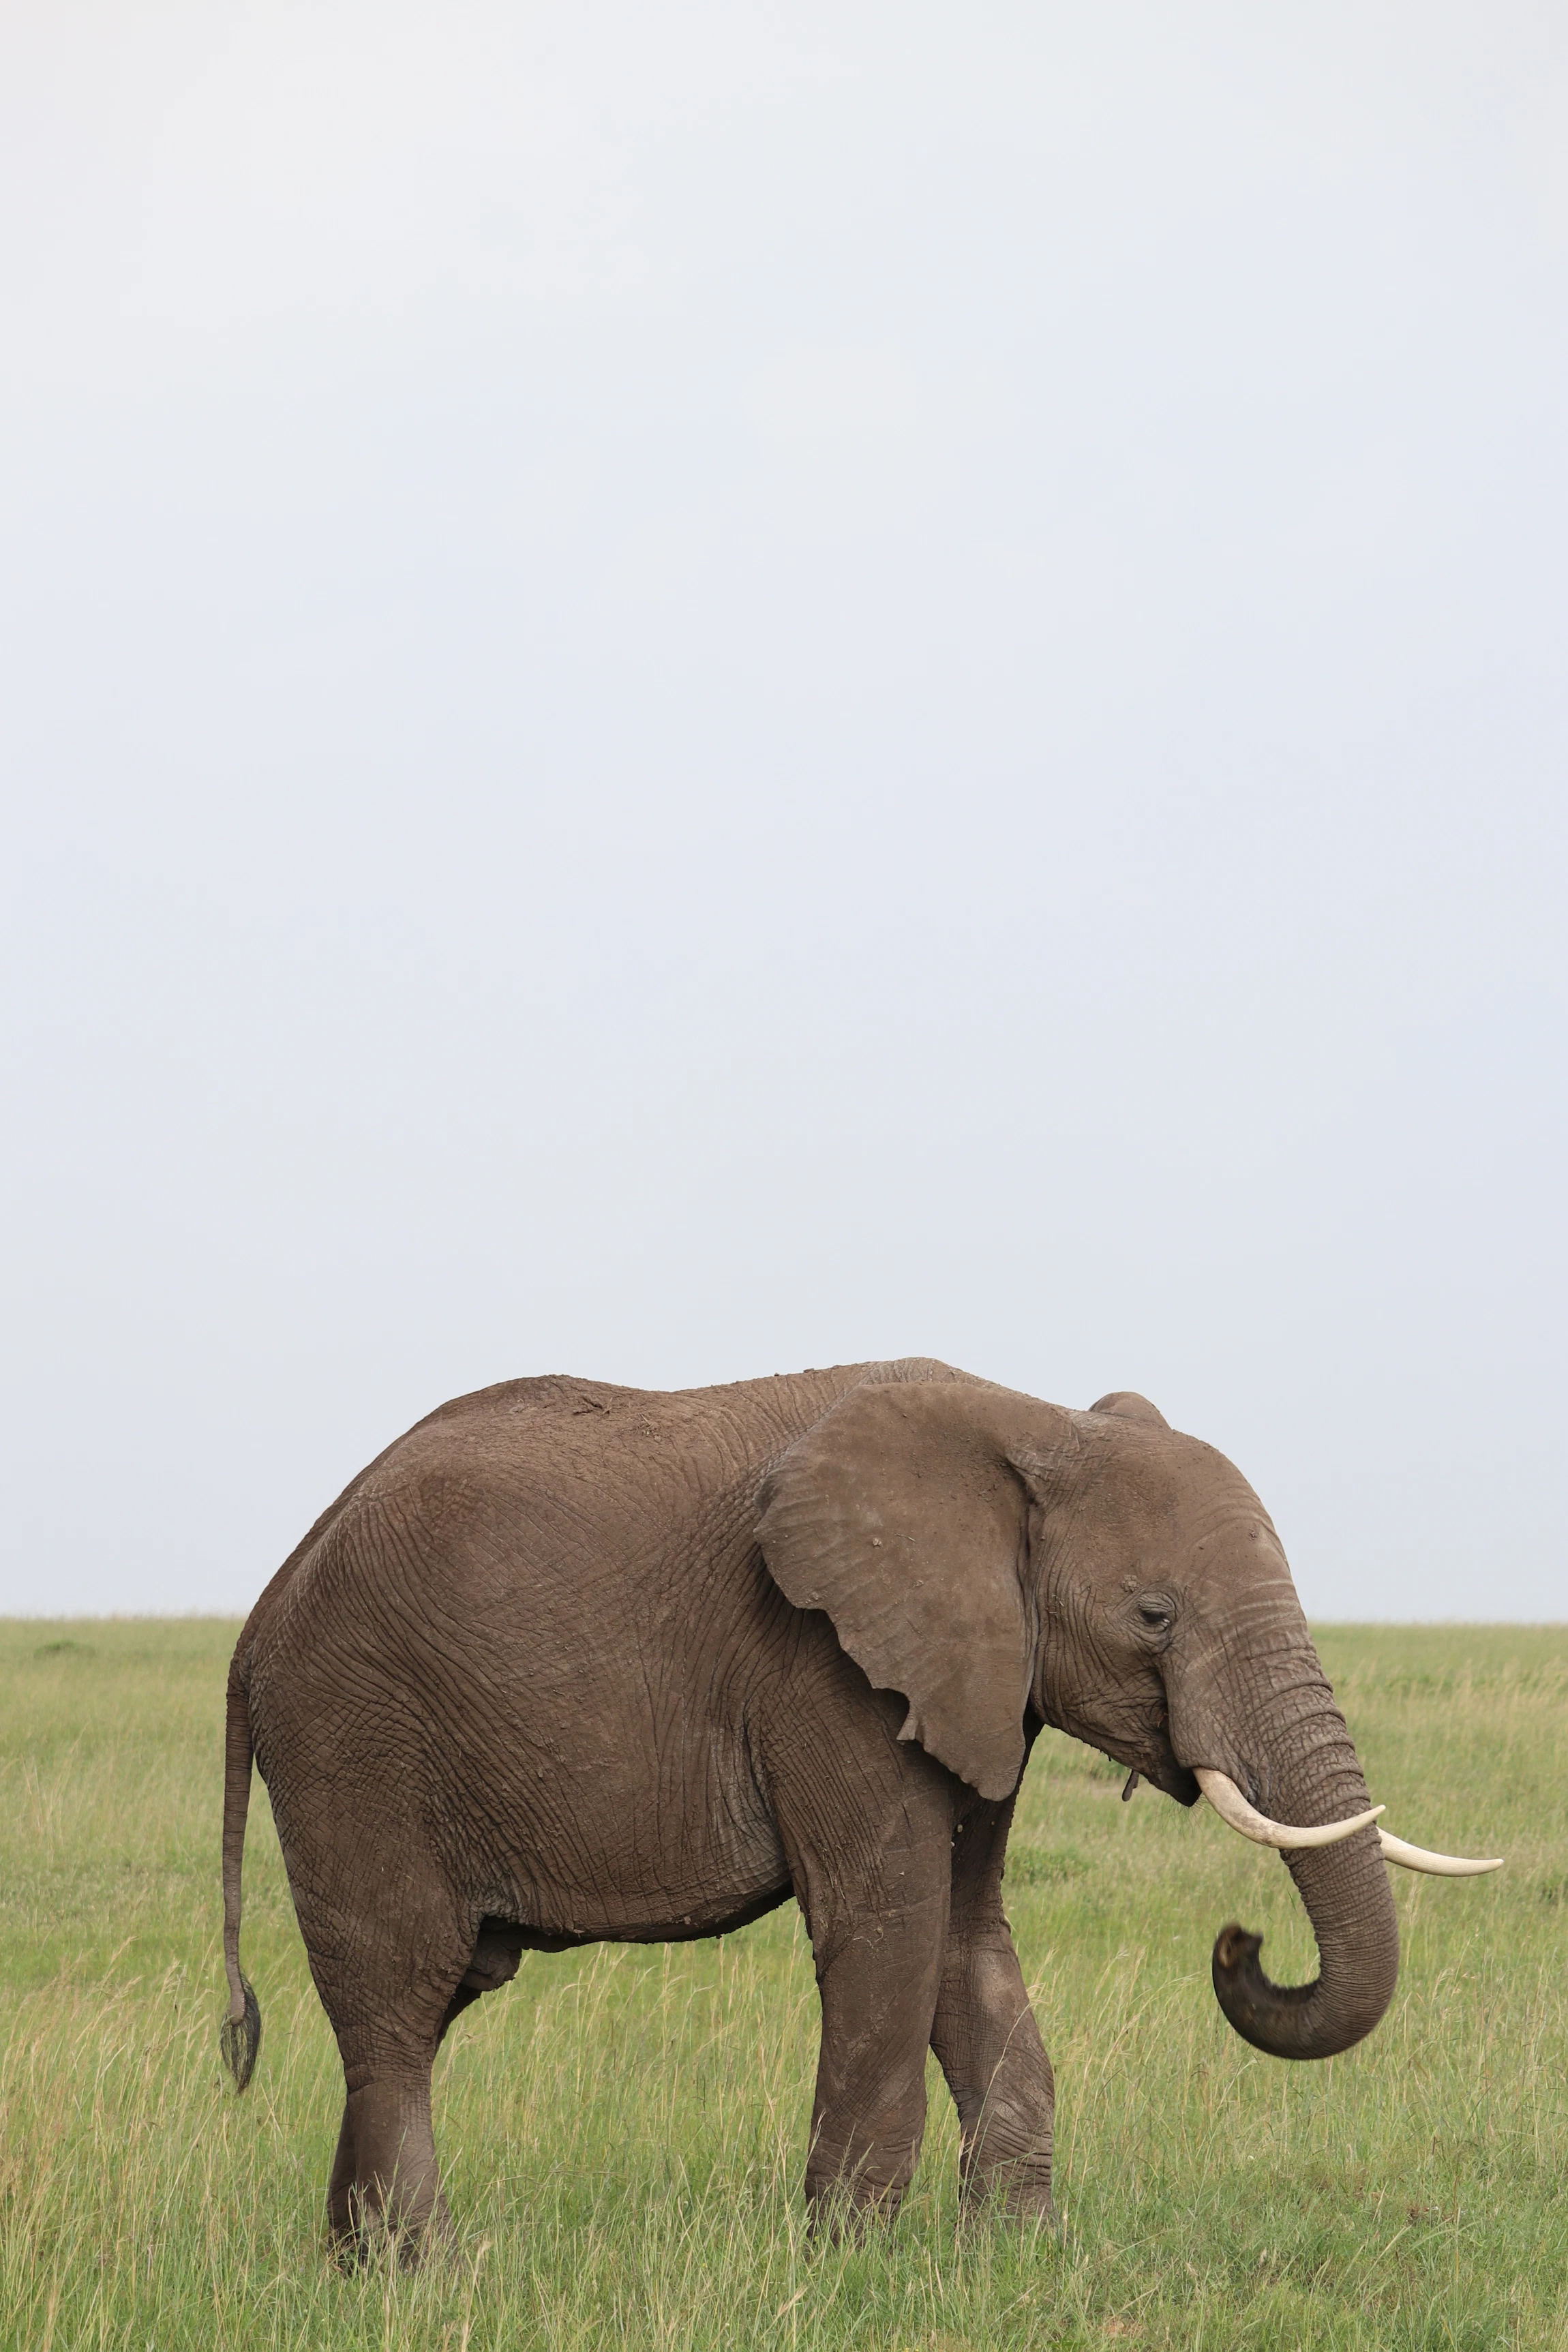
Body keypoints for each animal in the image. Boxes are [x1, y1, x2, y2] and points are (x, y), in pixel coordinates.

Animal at [218, 1358, 1498, 2259]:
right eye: (1155, 1616)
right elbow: (889, 1926)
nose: (1242, 1943)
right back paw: (425, 2276)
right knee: (399, 2002)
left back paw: (354, 2269)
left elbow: (968, 1938)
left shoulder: (977, 1678)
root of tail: (261, 1610)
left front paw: (1015, 2263)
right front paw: (852, 2269)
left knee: (416, 2015)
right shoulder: (824, 1668)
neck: (1030, 1424)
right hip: (353, 1744)